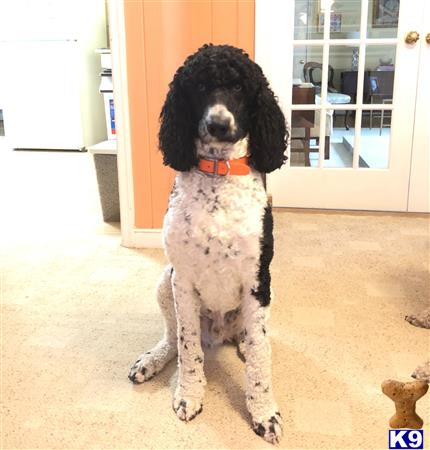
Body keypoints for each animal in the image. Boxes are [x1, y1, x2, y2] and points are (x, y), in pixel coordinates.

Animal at [128, 44, 288, 444]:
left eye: (240, 87)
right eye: (199, 88)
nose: (218, 124)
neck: (218, 177)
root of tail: (217, 333)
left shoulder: (257, 280)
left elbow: (260, 354)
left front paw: (264, 413)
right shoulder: (182, 282)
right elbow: (187, 347)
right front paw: (189, 395)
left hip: (264, 295)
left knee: (252, 336)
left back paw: (243, 343)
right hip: (164, 283)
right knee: (173, 338)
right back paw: (151, 360)